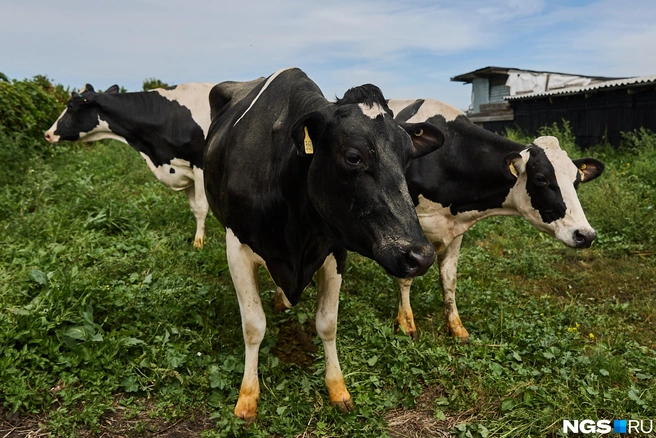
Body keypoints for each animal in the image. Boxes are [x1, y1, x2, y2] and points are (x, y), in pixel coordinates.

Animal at [43, 81, 263, 248]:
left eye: (70, 107)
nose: (47, 133)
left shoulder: (199, 166)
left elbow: (201, 207)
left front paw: (199, 242)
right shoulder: (180, 168)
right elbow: (194, 208)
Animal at [203, 68, 445, 422]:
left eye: (408, 158)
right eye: (353, 157)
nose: (421, 255)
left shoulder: (336, 248)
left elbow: (327, 323)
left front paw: (337, 388)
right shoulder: (236, 244)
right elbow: (253, 325)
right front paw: (247, 397)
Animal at [386, 98, 605, 342]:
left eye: (577, 181)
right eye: (541, 178)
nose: (585, 235)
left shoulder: (455, 228)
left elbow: (449, 278)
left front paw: (456, 328)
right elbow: (406, 276)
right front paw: (406, 324)